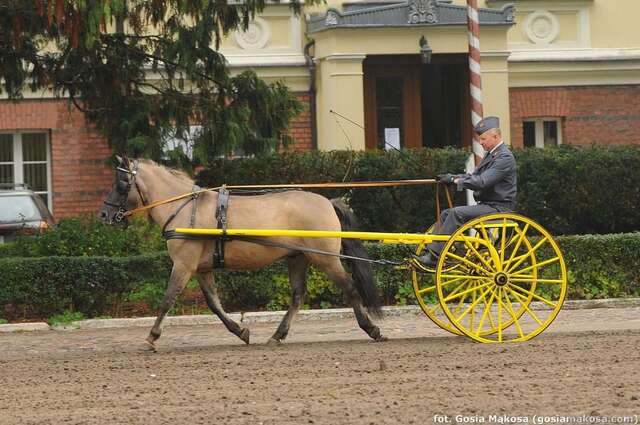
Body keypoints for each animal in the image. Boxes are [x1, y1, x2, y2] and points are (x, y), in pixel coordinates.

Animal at [97, 156, 382, 348]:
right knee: (298, 296)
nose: (104, 214)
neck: (184, 208)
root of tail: (327, 202)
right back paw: (277, 335)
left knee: (349, 287)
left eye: (121, 183)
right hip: (298, 258)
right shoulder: (201, 268)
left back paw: (372, 328)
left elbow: (168, 298)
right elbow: (213, 303)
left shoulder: (183, 264)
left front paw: (152, 337)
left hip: (325, 258)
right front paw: (240, 331)